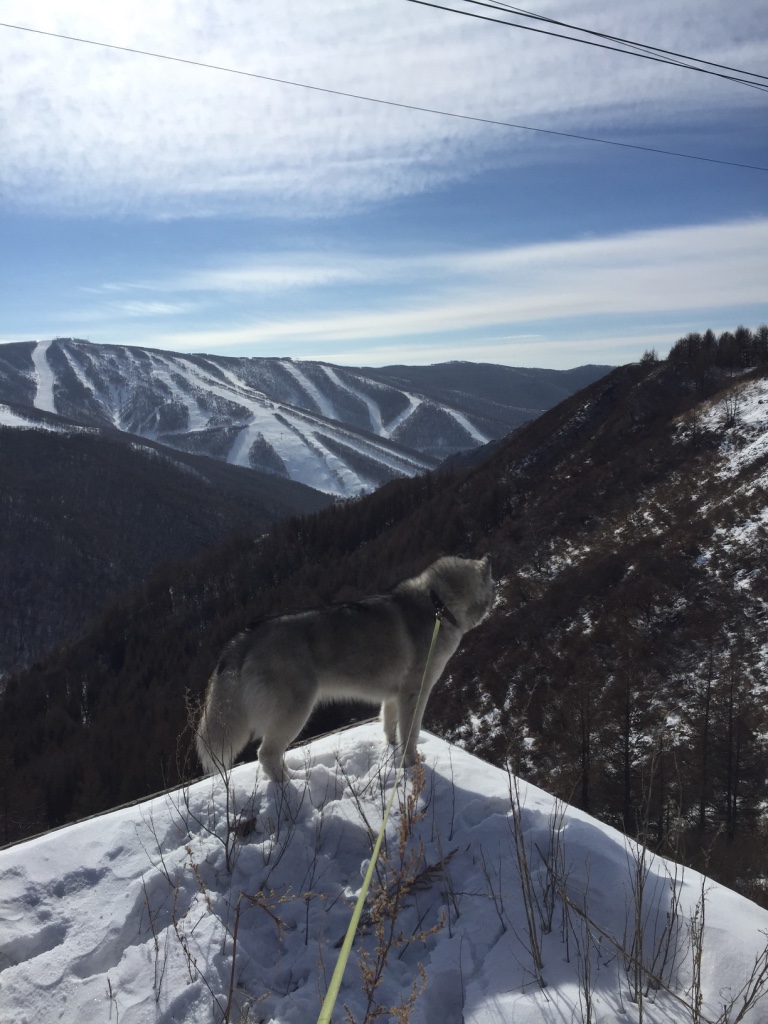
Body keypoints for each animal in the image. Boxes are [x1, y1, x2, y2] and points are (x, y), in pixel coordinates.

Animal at [195, 557, 495, 778]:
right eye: (492, 588)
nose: (495, 599)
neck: (438, 605)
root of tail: (245, 635)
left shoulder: (393, 697)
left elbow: (390, 728)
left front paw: (391, 753)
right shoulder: (415, 694)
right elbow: (410, 735)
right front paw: (411, 766)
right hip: (296, 711)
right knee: (266, 755)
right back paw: (291, 787)